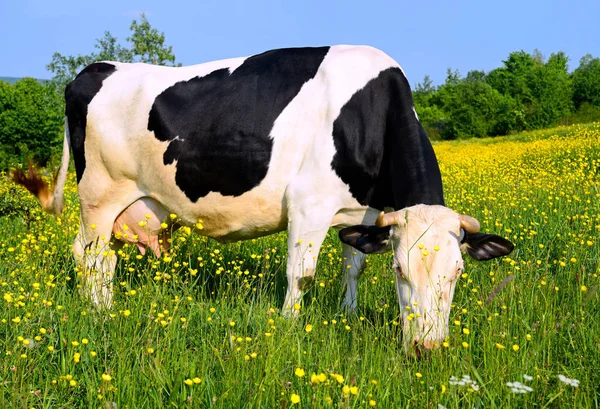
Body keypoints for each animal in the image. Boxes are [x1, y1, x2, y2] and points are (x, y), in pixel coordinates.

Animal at [11, 46, 512, 350]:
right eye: (400, 271)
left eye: (459, 272)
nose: (426, 348)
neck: (368, 111)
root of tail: (97, 68)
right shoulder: (309, 204)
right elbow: (302, 274)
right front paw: (290, 328)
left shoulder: (365, 211)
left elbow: (354, 265)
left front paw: (347, 312)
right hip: (99, 196)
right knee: (90, 257)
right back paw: (100, 314)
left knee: (106, 259)